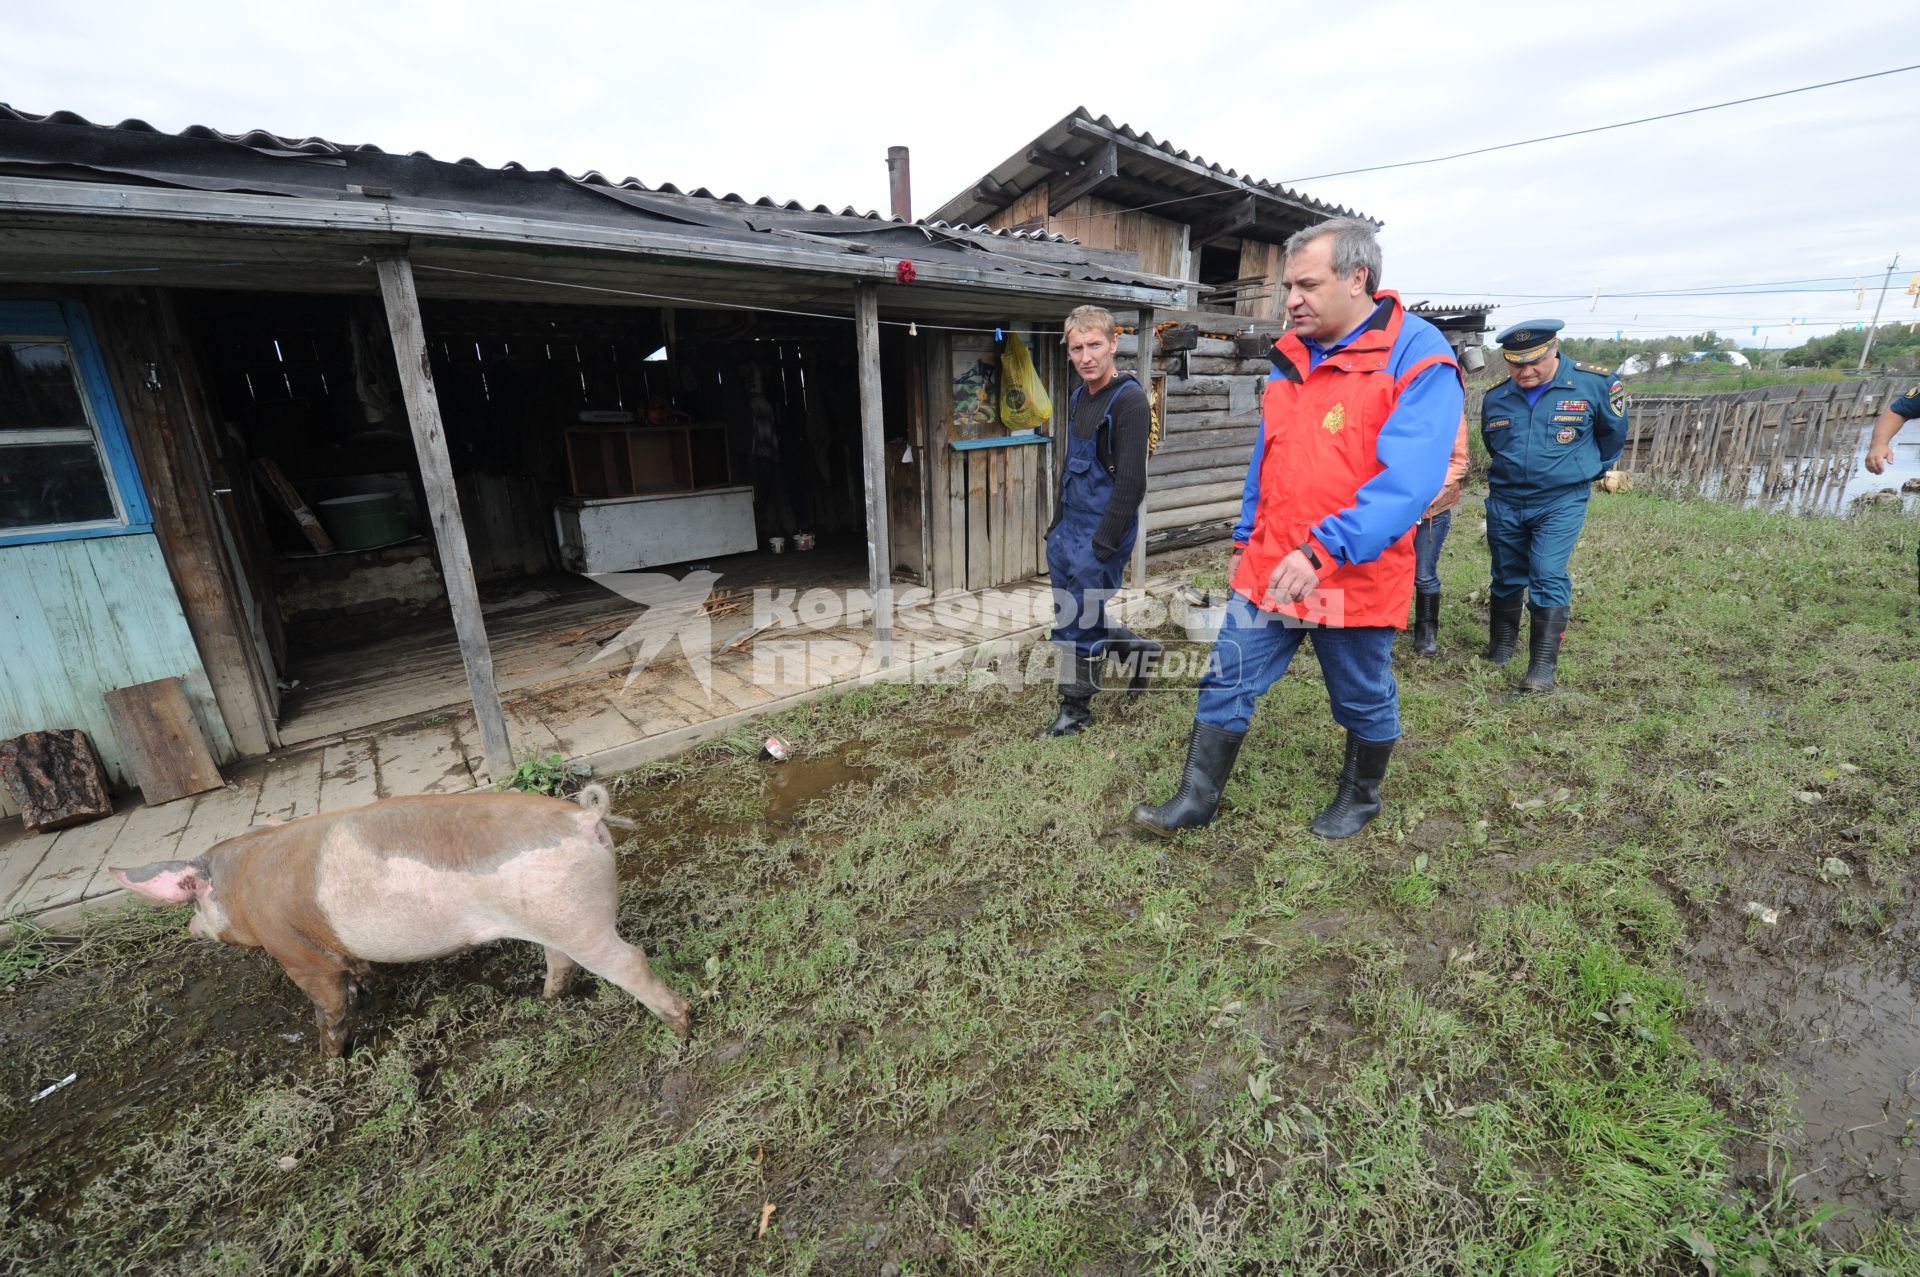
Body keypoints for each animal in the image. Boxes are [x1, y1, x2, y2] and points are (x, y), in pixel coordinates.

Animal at [107, 783, 691, 1052]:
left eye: (194, 901)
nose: (190, 928)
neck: (245, 886)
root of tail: (585, 817)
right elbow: (358, 972)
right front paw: (366, 986)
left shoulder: (295, 951)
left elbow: (328, 1005)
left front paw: (330, 1060)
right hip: (552, 915)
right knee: (559, 959)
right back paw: (546, 1002)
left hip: (580, 918)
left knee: (627, 959)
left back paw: (680, 1026)